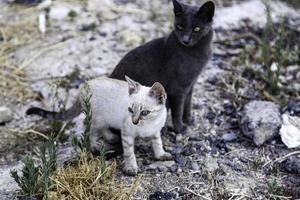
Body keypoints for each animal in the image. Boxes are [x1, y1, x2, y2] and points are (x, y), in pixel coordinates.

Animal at [27, 76, 172, 175]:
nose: (134, 122)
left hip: (103, 119)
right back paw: (95, 146)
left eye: (144, 112)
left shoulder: (156, 131)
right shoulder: (127, 133)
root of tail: (85, 85)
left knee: (102, 128)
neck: (148, 125)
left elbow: (157, 142)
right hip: (96, 119)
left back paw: (111, 138)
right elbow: (129, 153)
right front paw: (131, 168)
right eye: (130, 110)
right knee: (89, 131)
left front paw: (160, 155)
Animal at [110, 0, 213, 134]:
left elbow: (188, 104)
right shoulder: (177, 89)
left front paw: (189, 120)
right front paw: (181, 128)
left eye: (196, 29)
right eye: (180, 27)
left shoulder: (190, 85)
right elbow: (178, 110)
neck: (197, 52)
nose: (185, 40)